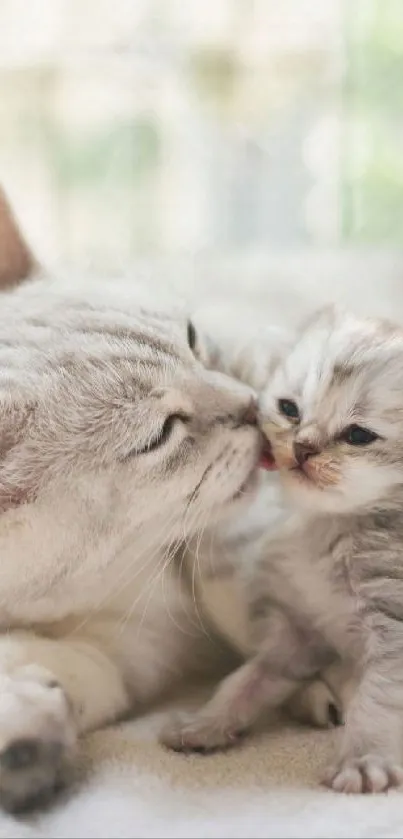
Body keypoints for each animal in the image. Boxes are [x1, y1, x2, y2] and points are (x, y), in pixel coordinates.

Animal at [161, 306, 403, 796]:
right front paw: (206, 723)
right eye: (289, 409)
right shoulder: (298, 632)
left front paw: (364, 758)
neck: (327, 529)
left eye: (359, 436)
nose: (302, 448)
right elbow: (246, 679)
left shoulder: (395, 633)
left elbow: (379, 698)